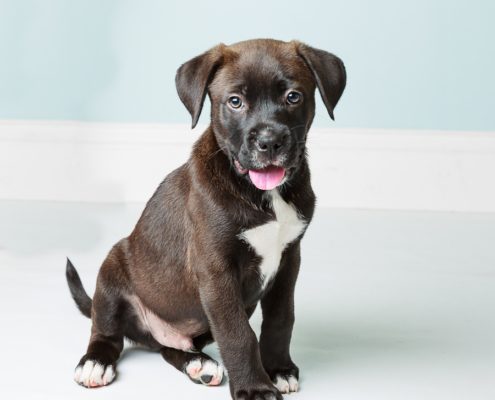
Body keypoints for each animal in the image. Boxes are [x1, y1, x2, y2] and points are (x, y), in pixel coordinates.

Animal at [66, 38, 346, 400]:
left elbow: (281, 318)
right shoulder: (216, 271)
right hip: (112, 268)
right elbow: (238, 334)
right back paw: (96, 362)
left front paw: (279, 368)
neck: (264, 196)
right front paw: (255, 388)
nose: (269, 142)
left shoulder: (288, 260)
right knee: (106, 331)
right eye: (235, 102)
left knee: (169, 347)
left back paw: (197, 363)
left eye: (293, 97)